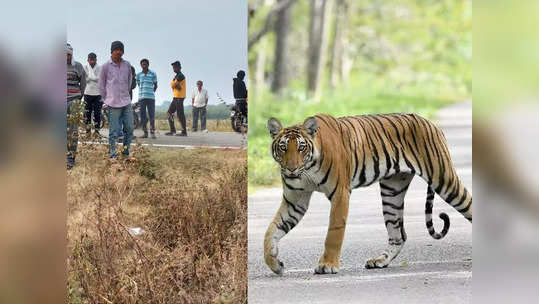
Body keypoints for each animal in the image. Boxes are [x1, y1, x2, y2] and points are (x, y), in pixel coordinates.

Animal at [264, 113, 472, 274]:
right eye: (283, 147)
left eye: (301, 147)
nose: (291, 169)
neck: (307, 169)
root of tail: (430, 122)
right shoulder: (295, 200)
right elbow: (272, 230)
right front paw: (274, 263)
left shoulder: (340, 194)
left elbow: (334, 232)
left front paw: (327, 265)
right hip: (392, 192)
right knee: (399, 234)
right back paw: (380, 261)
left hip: (444, 180)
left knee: (468, 204)